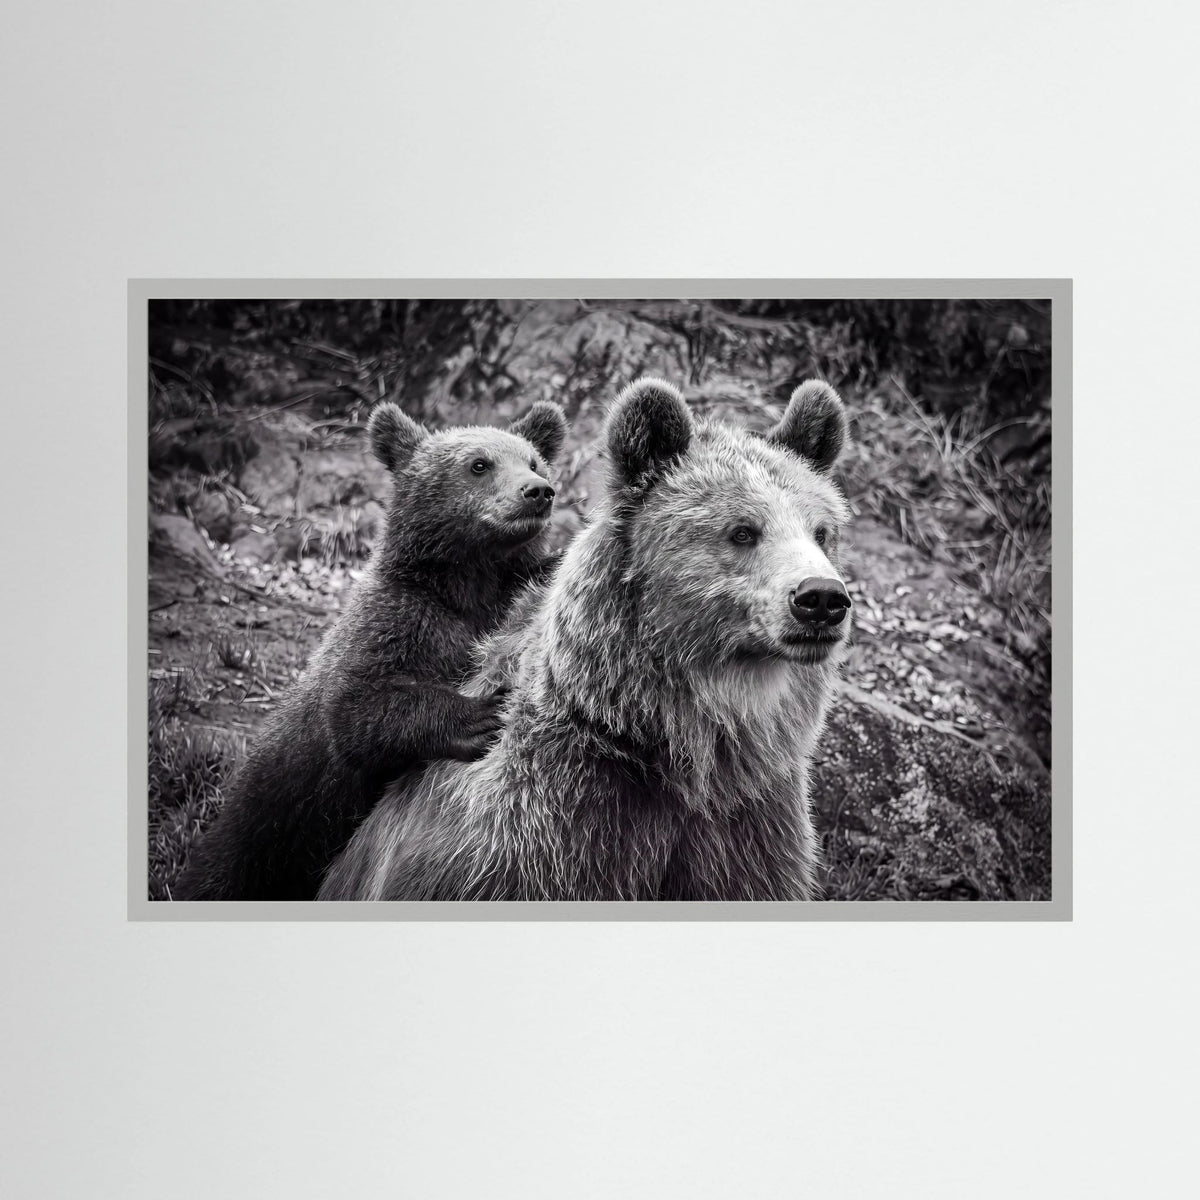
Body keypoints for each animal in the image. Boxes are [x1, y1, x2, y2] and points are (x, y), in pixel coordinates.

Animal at [172, 396, 569, 901]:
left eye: (533, 460)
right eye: (480, 464)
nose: (538, 491)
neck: (467, 585)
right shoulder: (397, 622)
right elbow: (356, 710)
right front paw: (479, 714)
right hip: (266, 831)